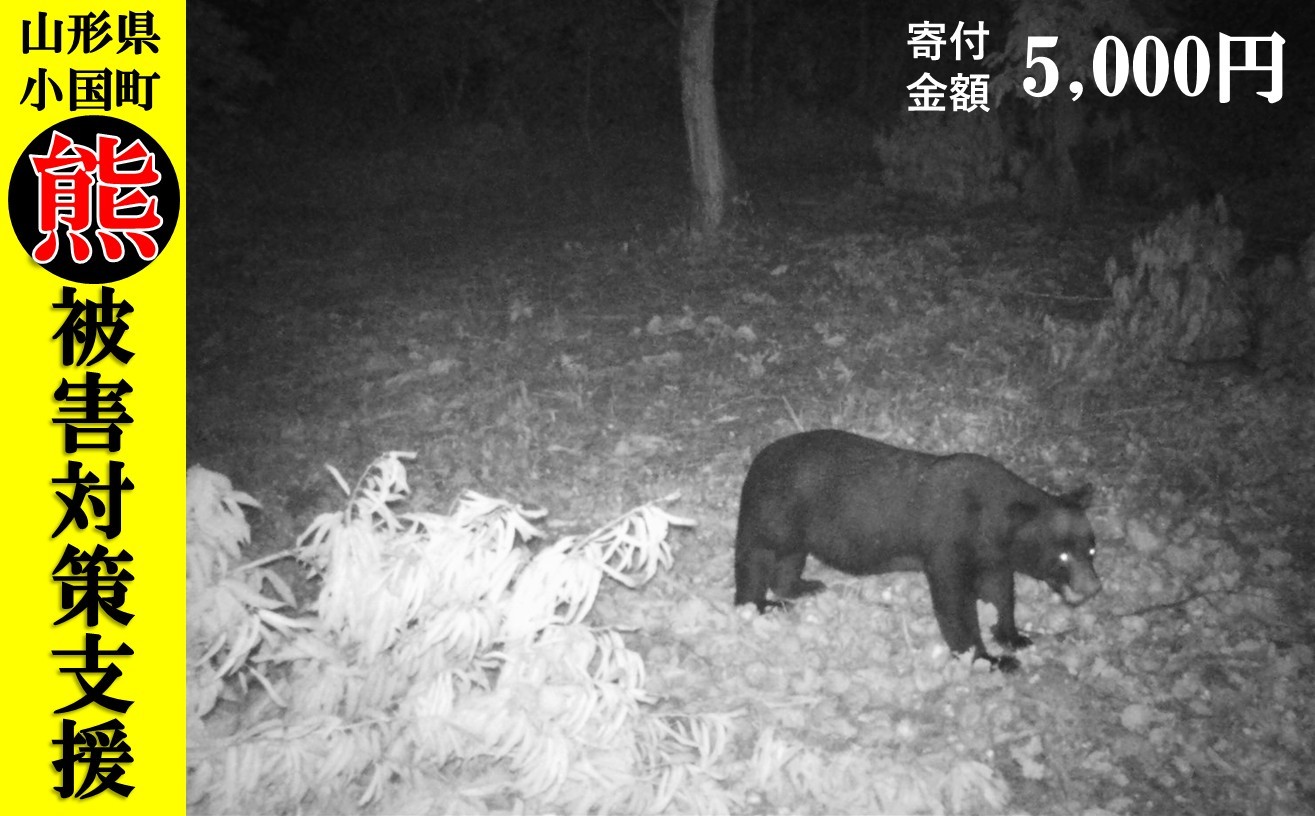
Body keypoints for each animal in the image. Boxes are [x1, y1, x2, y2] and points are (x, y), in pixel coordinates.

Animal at [733, 429, 1102, 672]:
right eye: (1063, 556)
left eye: (1091, 550)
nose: (1093, 587)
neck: (991, 520)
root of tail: (758, 459)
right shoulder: (948, 548)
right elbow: (956, 606)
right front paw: (989, 659)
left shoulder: (993, 558)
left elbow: (1001, 594)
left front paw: (1014, 636)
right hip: (772, 515)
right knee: (755, 560)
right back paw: (761, 604)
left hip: (797, 531)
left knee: (788, 562)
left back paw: (804, 587)